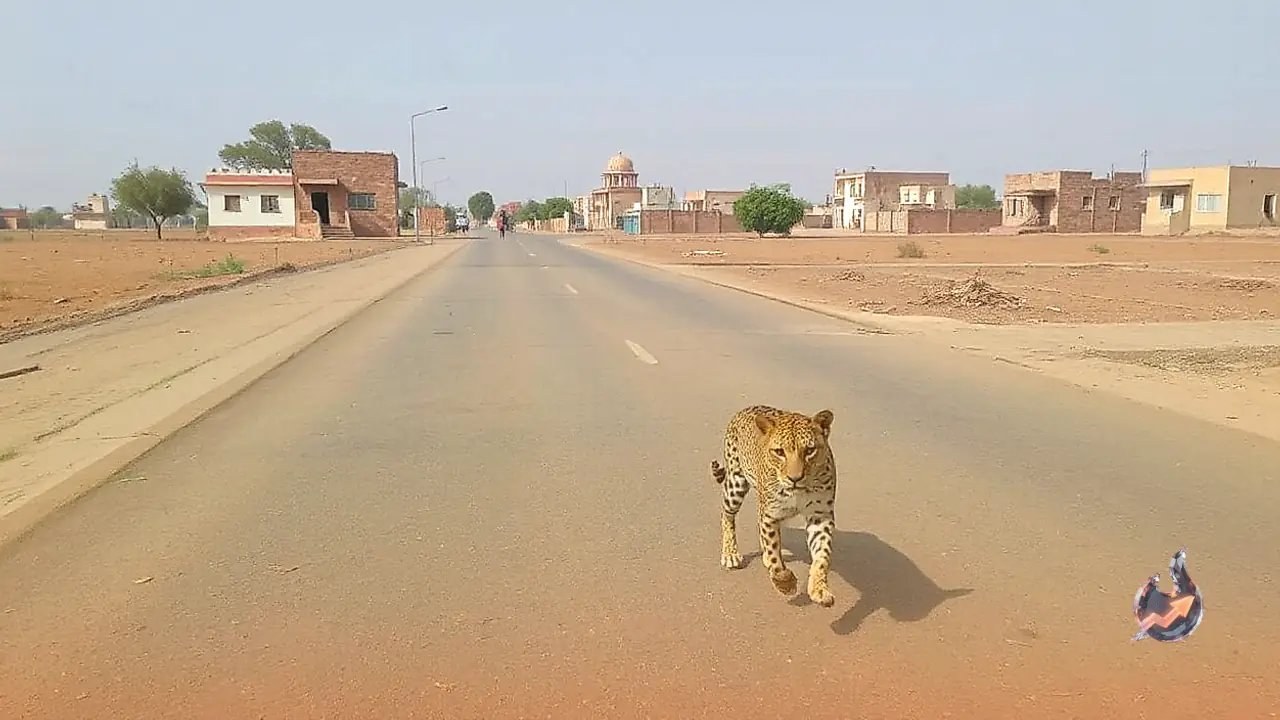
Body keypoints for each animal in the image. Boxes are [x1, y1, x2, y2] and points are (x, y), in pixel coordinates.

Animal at [710, 405, 838, 607]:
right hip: (736, 483)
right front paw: (785, 582)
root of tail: (744, 409)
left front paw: (819, 589)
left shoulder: (820, 516)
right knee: (726, 514)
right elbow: (773, 553)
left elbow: (822, 555)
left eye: (809, 450)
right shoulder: (771, 514)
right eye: (779, 452)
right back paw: (730, 553)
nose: (795, 478)